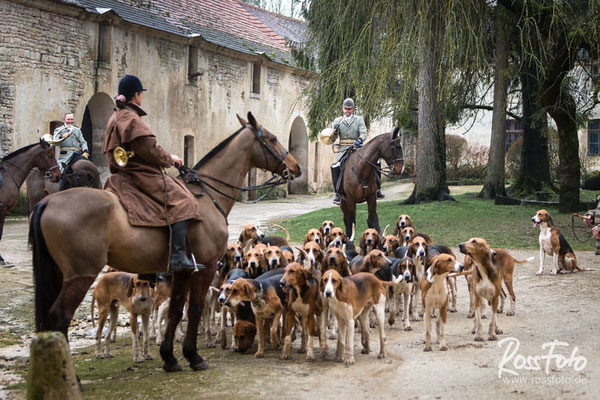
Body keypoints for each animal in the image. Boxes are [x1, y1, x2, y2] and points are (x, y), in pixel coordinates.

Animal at [29, 111, 300, 372]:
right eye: (273, 139)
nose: (296, 167)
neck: (206, 196)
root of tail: (48, 201)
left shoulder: (181, 271)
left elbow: (176, 310)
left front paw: (169, 358)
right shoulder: (206, 266)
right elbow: (194, 309)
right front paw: (193, 356)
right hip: (80, 275)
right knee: (59, 317)